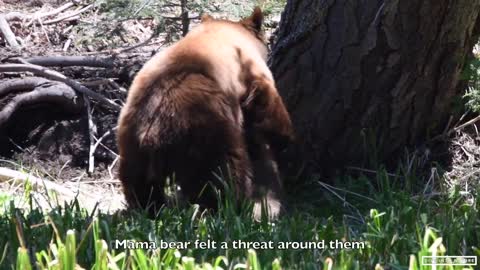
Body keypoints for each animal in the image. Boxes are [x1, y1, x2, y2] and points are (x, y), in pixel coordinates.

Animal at [118, 7, 294, 219]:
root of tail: (151, 133)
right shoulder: (247, 67)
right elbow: (265, 97)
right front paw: (284, 137)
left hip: (131, 141)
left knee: (139, 183)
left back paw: (148, 209)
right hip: (206, 129)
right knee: (223, 173)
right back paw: (236, 206)